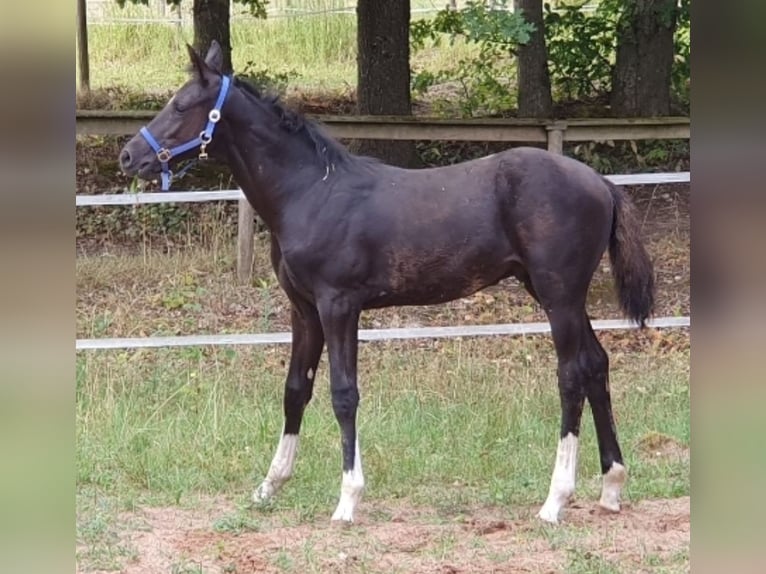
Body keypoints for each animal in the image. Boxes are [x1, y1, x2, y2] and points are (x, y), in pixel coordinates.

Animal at [119, 41, 655, 524]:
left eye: (181, 105)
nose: (128, 156)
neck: (311, 192)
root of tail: (600, 183)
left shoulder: (339, 305)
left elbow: (343, 393)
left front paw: (347, 501)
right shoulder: (303, 308)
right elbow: (295, 389)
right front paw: (270, 485)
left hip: (558, 295)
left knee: (571, 376)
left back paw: (554, 501)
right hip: (558, 295)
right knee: (596, 365)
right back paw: (611, 488)